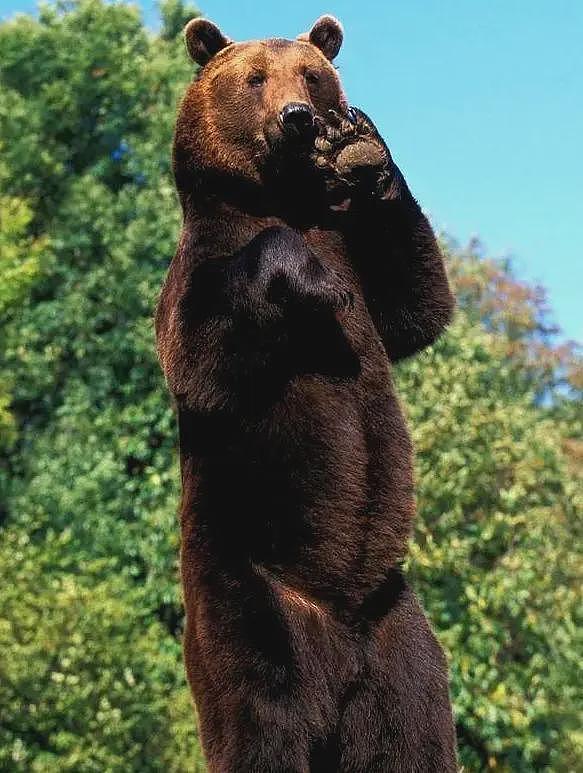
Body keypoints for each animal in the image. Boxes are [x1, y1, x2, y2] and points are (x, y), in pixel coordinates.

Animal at [156, 14, 457, 773]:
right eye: (255, 77)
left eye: (313, 75)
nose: (297, 119)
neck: (285, 200)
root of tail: (339, 649)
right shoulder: (196, 278)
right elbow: (203, 357)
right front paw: (316, 282)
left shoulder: (363, 261)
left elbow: (416, 303)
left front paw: (359, 146)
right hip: (247, 596)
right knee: (263, 716)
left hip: (398, 633)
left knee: (417, 730)